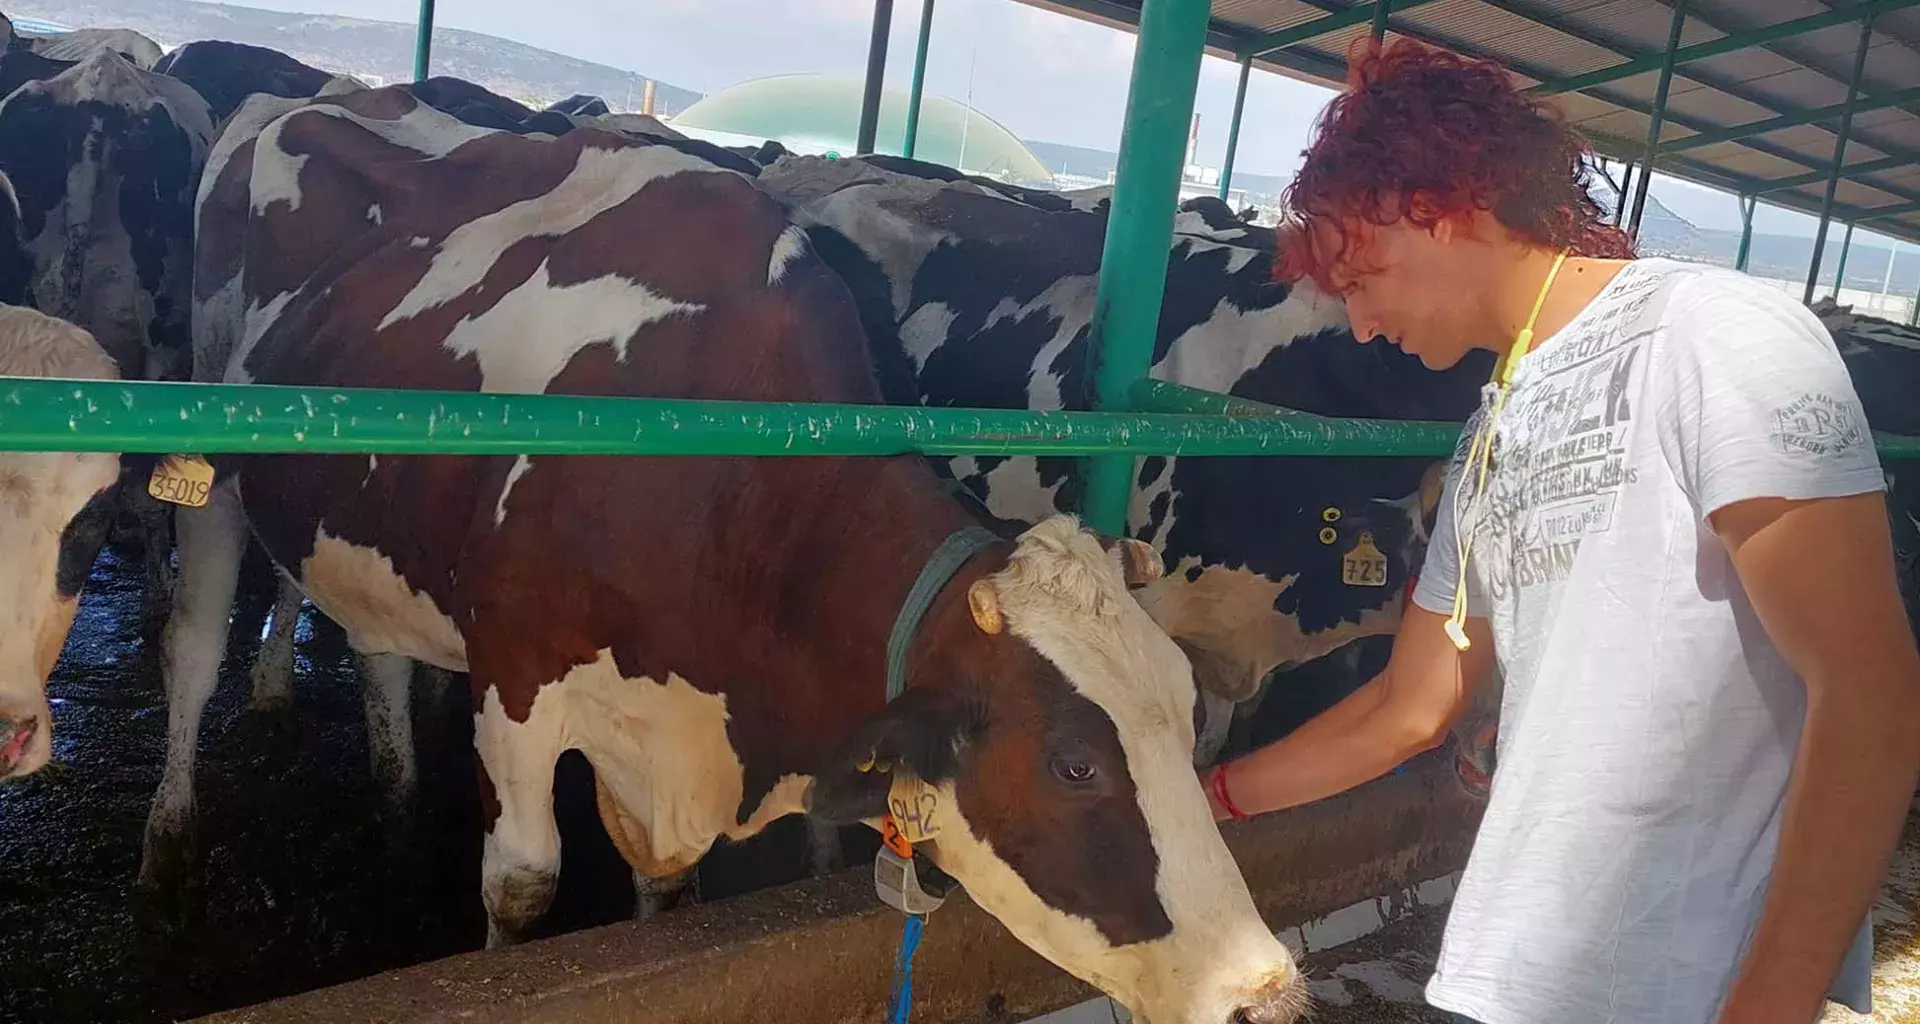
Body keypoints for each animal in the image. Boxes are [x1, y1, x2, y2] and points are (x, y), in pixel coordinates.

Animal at [168, 89, 1305, 1022]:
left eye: (1187, 716)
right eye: (1075, 762)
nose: (1269, 992)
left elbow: (662, 894)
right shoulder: (516, 688)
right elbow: (522, 889)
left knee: (379, 651)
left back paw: (395, 802)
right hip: (211, 445)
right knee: (191, 647)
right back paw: (167, 842)